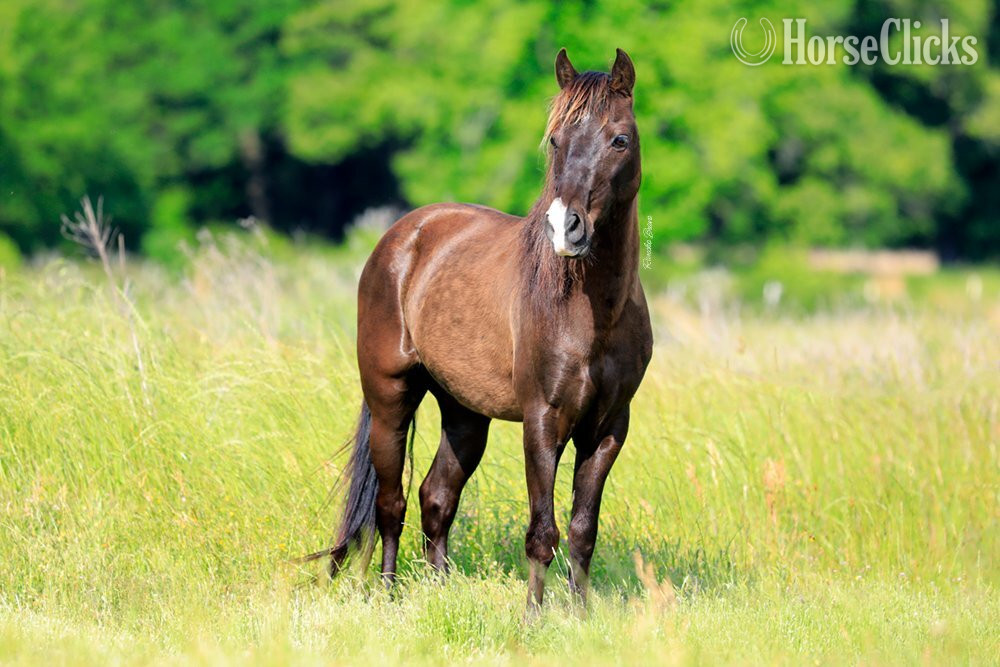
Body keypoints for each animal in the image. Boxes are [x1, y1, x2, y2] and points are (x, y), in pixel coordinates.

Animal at [317, 48, 652, 610]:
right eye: (556, 139)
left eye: (619, 140)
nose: (566, 229)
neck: (592, 312)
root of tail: (402, 236)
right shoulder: (543, 422)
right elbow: (543, 532)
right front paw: (533, 618)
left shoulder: (609, 429)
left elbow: (583, 532)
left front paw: (582, 615)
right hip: (390, 400)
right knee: (391, 504)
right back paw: (387, 594)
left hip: (464, 414)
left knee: (436, 497)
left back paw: (439, 591)